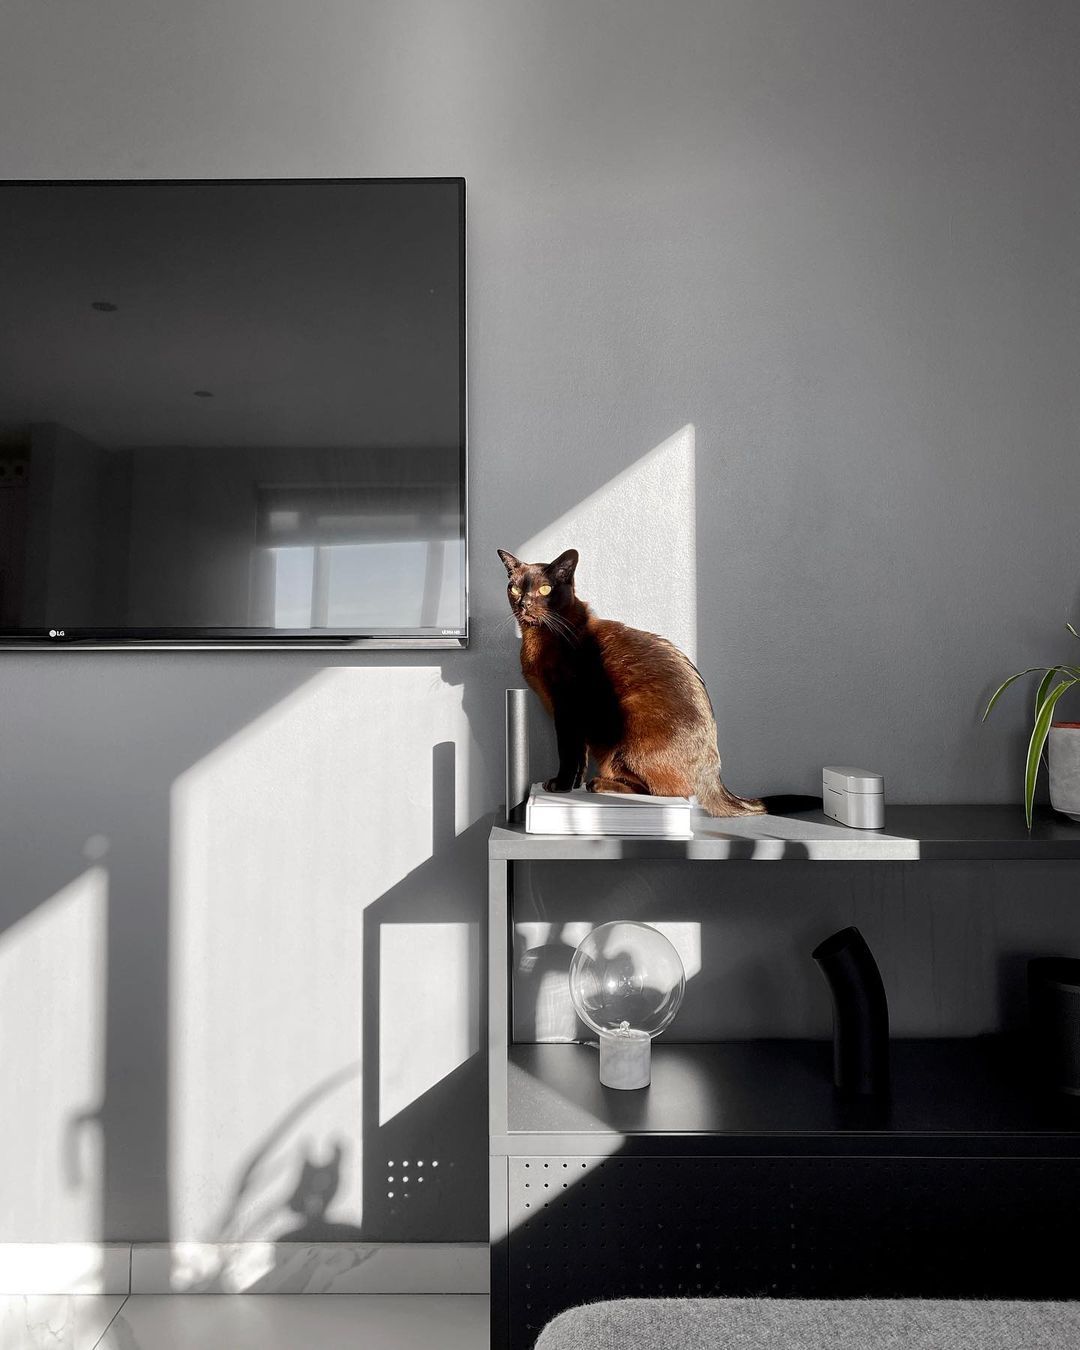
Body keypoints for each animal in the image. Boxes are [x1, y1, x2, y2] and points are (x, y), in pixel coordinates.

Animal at [499, 545, 766, 815]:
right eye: (515, 589)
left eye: (545, 589)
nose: (524, 603)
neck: (537, 637)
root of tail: (713, 774)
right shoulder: (575, 719)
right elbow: (580, 756)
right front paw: (573, 785)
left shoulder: (567, 709)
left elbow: (567, 752)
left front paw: (561, 785)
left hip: (625, 738)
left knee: (668, 790)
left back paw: (599, 784)